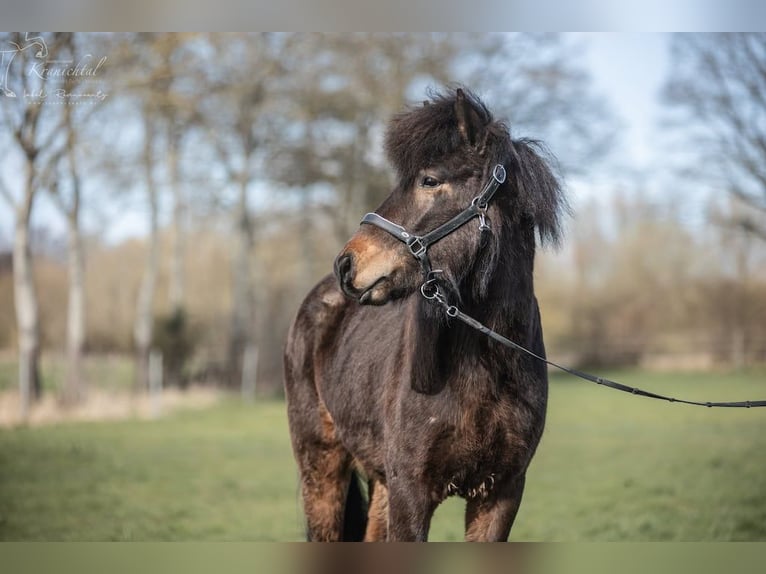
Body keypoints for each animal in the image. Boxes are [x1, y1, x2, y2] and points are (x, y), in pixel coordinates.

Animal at [284, 87, 566, 541]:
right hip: (322, 467)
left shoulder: (501, 493)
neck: (484, 367)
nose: (346, 265)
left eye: (430, 180)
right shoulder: (411, 492)